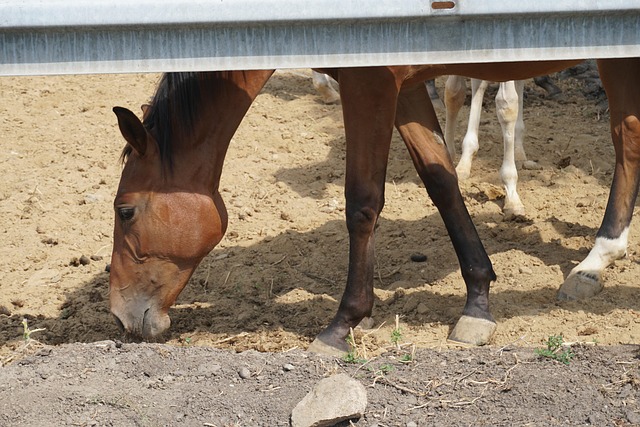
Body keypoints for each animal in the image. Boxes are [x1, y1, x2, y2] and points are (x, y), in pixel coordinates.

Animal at [109, 59, 640, 356]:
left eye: (125, 212)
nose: (119, 316)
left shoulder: (369, 84)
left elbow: (362, 202)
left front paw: (343, 322)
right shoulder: (404, 87)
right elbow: (440, 179)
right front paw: (477, 299)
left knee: (627, 141)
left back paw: (596, 260)